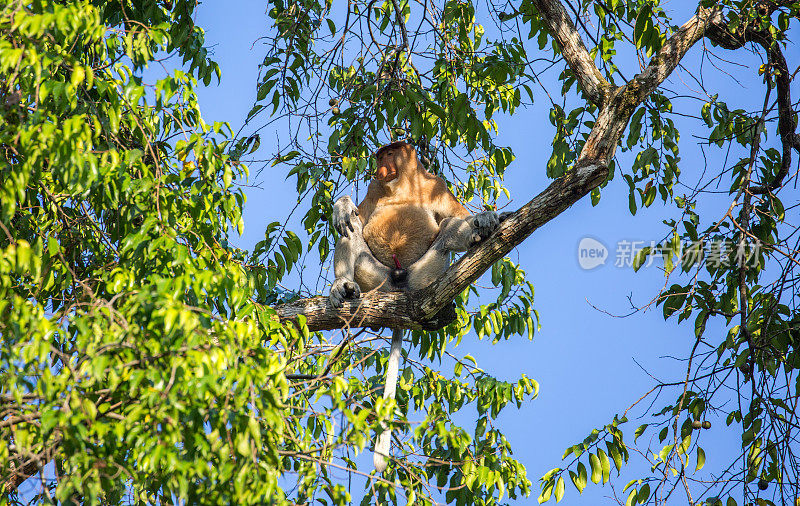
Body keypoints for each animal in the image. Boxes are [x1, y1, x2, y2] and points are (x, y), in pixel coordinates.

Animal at [328, 140, 496, 472]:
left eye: (390, 153)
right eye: (380, 155)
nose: (380, 165)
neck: (402, 183)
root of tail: (398, 286)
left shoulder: (437, 185)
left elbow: (456, 214)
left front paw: (483, 219)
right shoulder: (374, 188)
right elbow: (358, 216)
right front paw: (341, 205)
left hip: (425, 274)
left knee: (448, 228)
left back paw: (476, 233)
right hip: (374, 278)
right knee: (351, 230)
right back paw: (343, 286)